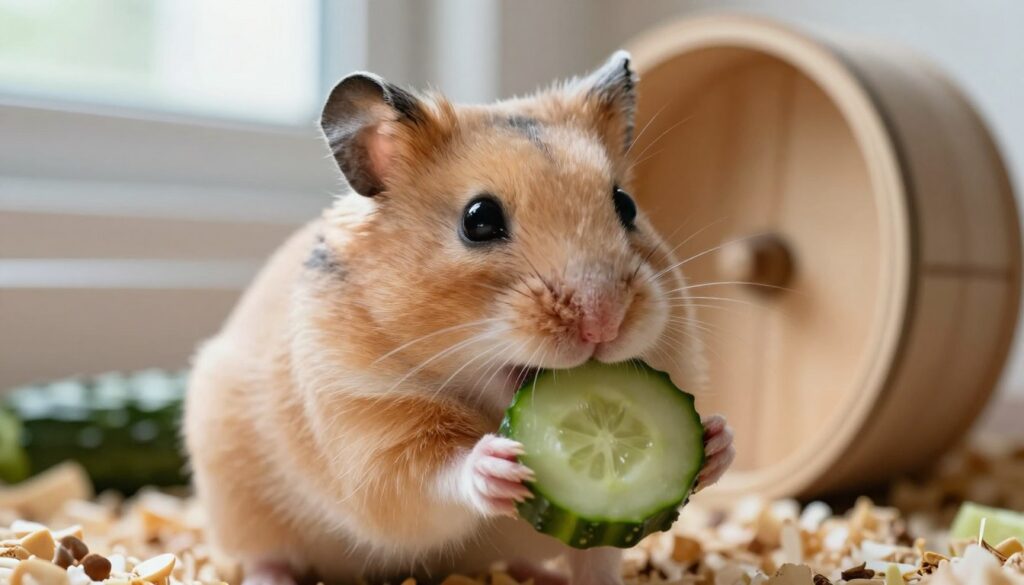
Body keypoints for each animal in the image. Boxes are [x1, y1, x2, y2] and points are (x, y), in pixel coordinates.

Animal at [184, 51, 735, 585]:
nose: (604, 322)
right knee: (263, 557)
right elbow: (431, 477)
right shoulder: (365, 428)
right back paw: (270, 578)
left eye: (626, 205)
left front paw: (715, 439)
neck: (481, 396)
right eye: (479, 219)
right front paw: (496, 465)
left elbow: (599, 559)